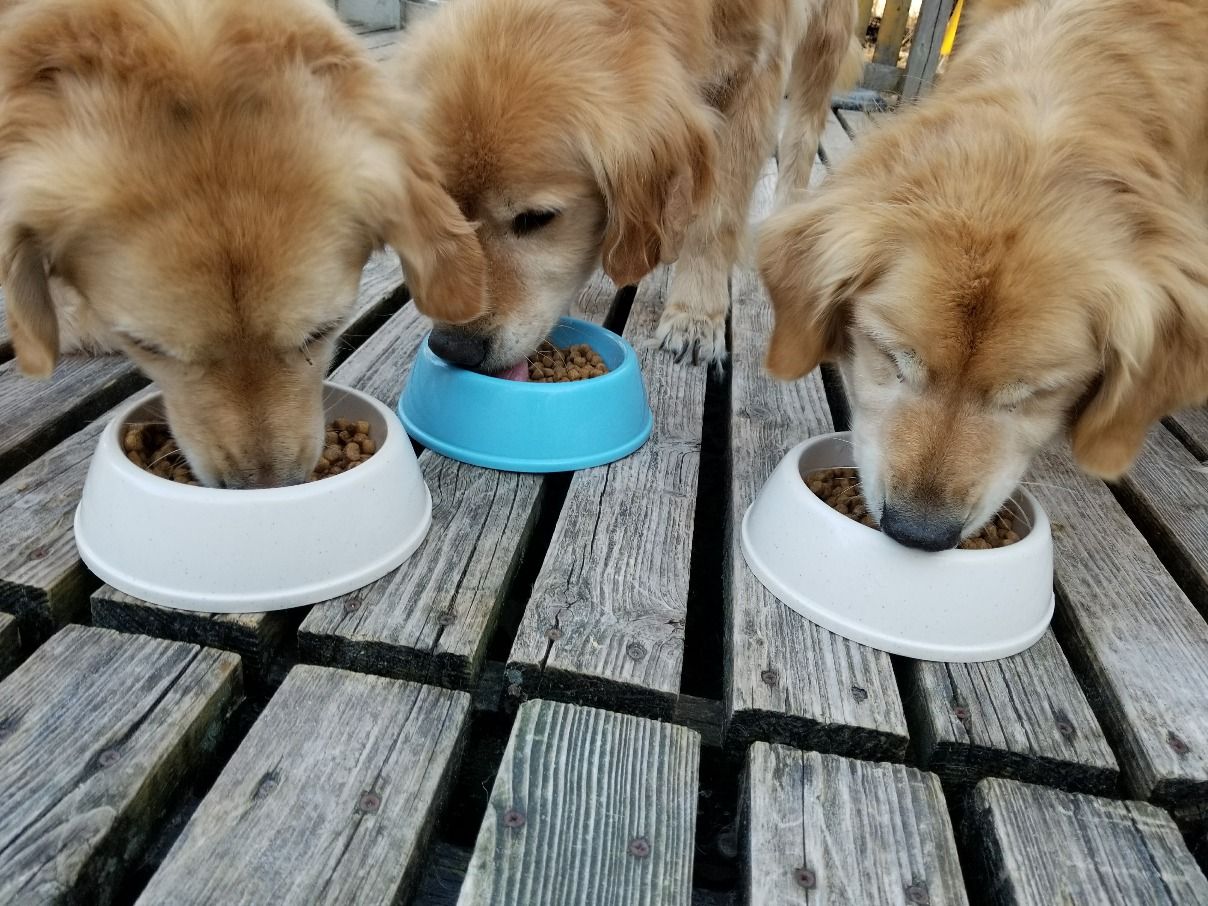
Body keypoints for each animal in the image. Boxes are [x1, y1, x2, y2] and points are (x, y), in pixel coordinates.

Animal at [393, 0, 860, 375]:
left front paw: (696, 315)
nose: (454, 347)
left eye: (536, 219)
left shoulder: (758, 67)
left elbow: (718, 214)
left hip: (826, 39)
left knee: (802, 136)